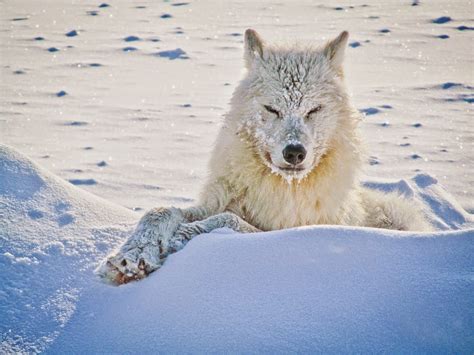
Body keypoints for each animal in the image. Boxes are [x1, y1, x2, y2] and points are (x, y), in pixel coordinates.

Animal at [98, 29, 432, 286]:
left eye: (314, 110)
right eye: (272, 109)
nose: (294, 152)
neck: (281, 188)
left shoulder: (286, 229)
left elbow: (227, 220)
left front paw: (185, 236)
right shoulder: (220, 200)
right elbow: (159, 211)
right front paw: (130, 256)